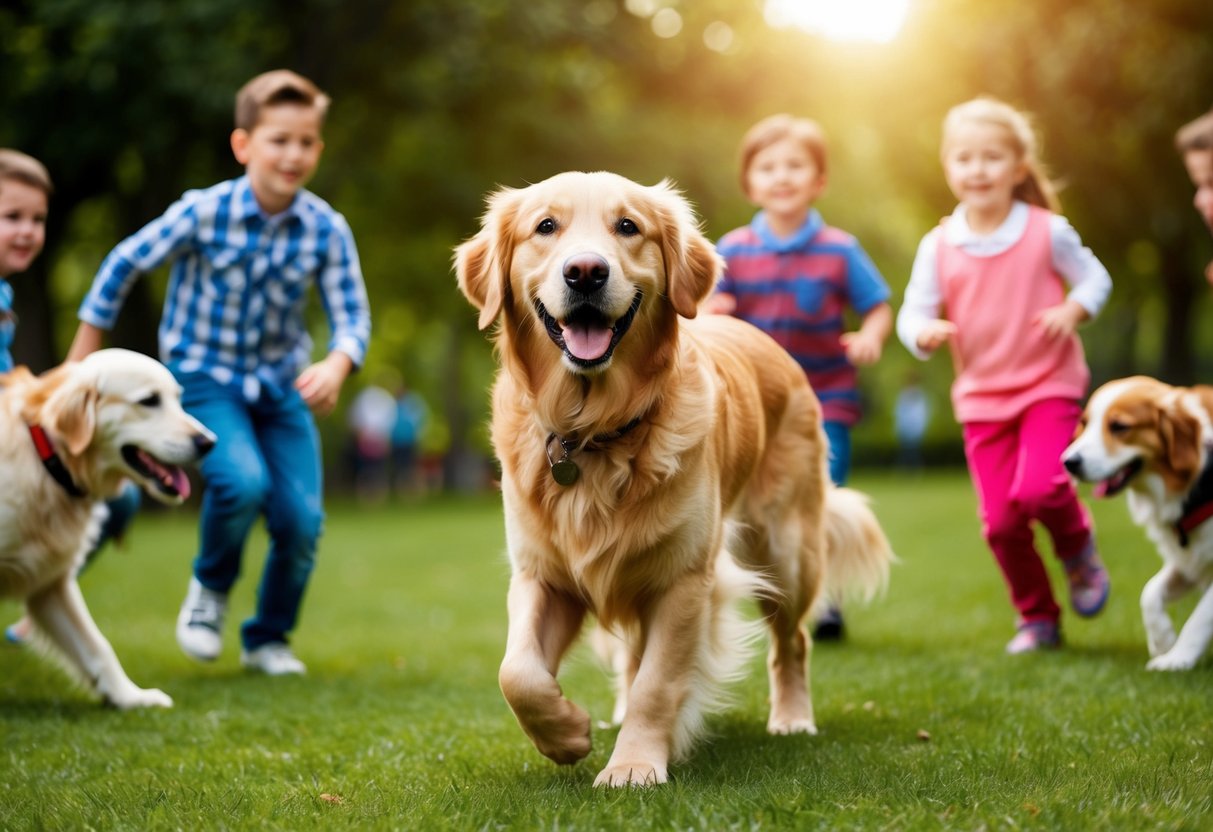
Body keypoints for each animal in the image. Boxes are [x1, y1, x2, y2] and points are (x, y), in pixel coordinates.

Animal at [0, 349, 215, 708]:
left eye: (178, 398)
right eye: (149, 400)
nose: (208, 442)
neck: (45, 459)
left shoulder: (50, 583)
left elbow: (97, 645)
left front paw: (130, 697)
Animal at [456, 171, 892, 790]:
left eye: (627, 226)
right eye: (545, 226)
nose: (585, 271)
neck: (594, 434)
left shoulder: (683, 580)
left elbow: (658, 684)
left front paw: (634, 764)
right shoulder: (543, 575)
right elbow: (517, 672)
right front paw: (567, 734)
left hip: (786, 549)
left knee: (794, 640)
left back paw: (791, 718)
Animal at [1062, 375, 1213, 669]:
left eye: (1119, 427)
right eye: (1085, 423)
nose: (1068, 462)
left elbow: (1199, 619)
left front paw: (1176, 659)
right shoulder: (1190, 559)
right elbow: (1150, 592)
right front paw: (1162, 640)